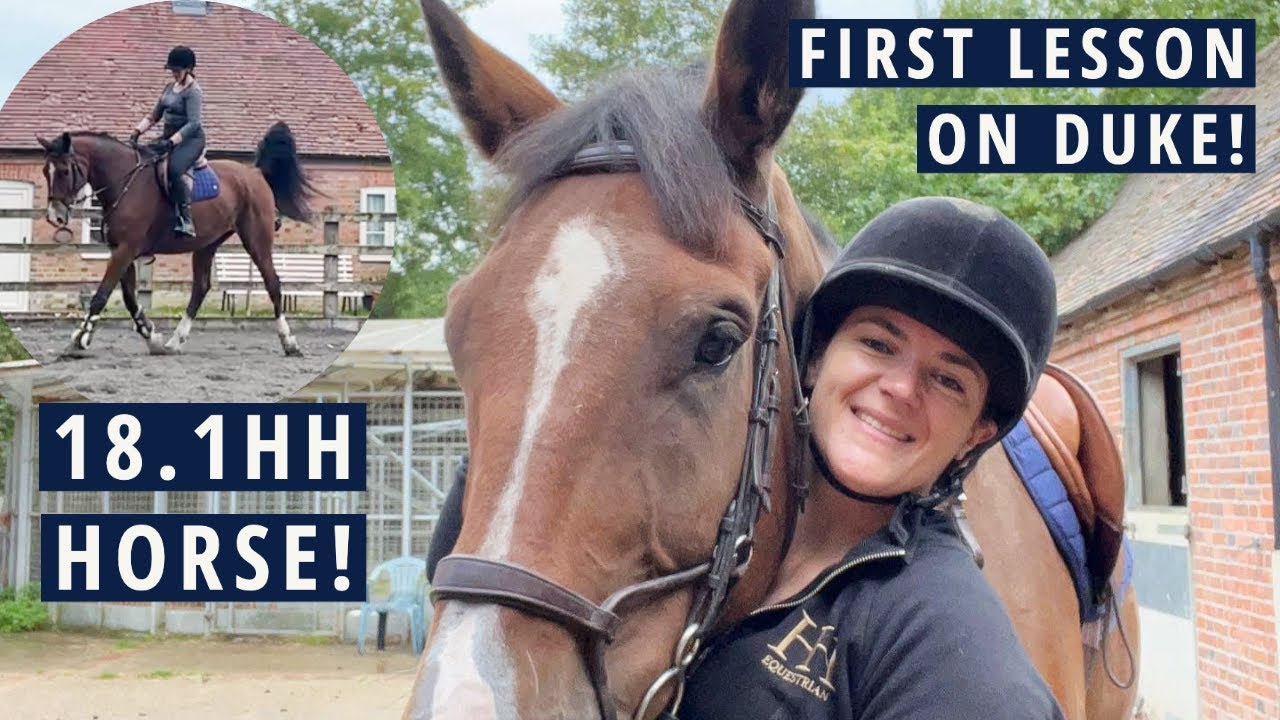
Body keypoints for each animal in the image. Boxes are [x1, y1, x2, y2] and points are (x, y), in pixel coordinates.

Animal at [36, 121, 316, 357]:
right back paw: (174, 341)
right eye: (45, 171)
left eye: (63, 171)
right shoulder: (121, 250)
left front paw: (79, 340)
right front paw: (152, 336)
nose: (55, 217)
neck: (126, 182)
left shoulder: (126, 249)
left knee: (273, 284)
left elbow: (101, 295)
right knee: (200, 288)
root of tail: (255, 174)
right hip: (206, 245)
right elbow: (129, 298)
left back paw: (289, 342)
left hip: (256, 240)